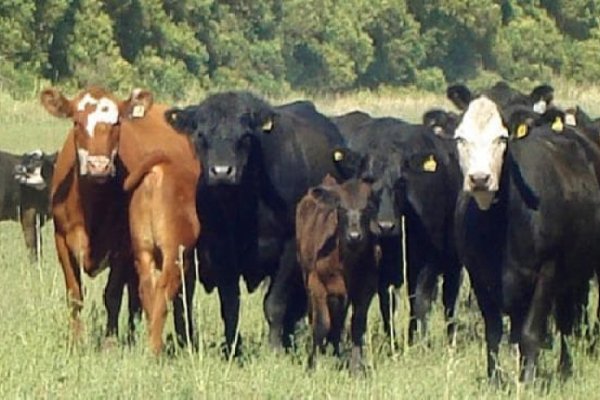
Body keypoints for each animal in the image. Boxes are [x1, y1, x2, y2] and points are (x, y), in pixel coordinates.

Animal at [164, 90, 344, 354]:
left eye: (245, 136)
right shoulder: (221, 251)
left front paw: (275, 349)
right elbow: (230, 305)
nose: (222, 172)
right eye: (200, 134)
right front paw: (232, 349)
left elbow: (275, 303)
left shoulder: (289, 247)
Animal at [296, 175, 380, 372]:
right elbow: (321, 324)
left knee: (338, 322)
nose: (354, 236)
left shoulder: (366, 289)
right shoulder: (316, 284)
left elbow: (357, 325)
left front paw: (356, 368)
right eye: (340, 207)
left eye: (368, 207)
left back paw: (336, 353)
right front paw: (312, 365)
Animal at [330, 113, 462, 344]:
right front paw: (393, 342)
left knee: (449, 299)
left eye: (401, 181)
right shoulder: (382, 270)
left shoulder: (427, 261)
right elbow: (387, 305)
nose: (385, 226)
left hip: (452, 261)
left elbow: (420, 302)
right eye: (367, 179)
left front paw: (419, 342)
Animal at [454, 96, 600, 382]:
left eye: (501, 138)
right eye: (460, 138)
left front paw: (528, 380)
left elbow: (532, 333)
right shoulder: (479, 276)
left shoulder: (547, 272)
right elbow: (493, 333)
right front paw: (495, 380)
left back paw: (564, 368)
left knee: (566, 321)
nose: (479, 179)